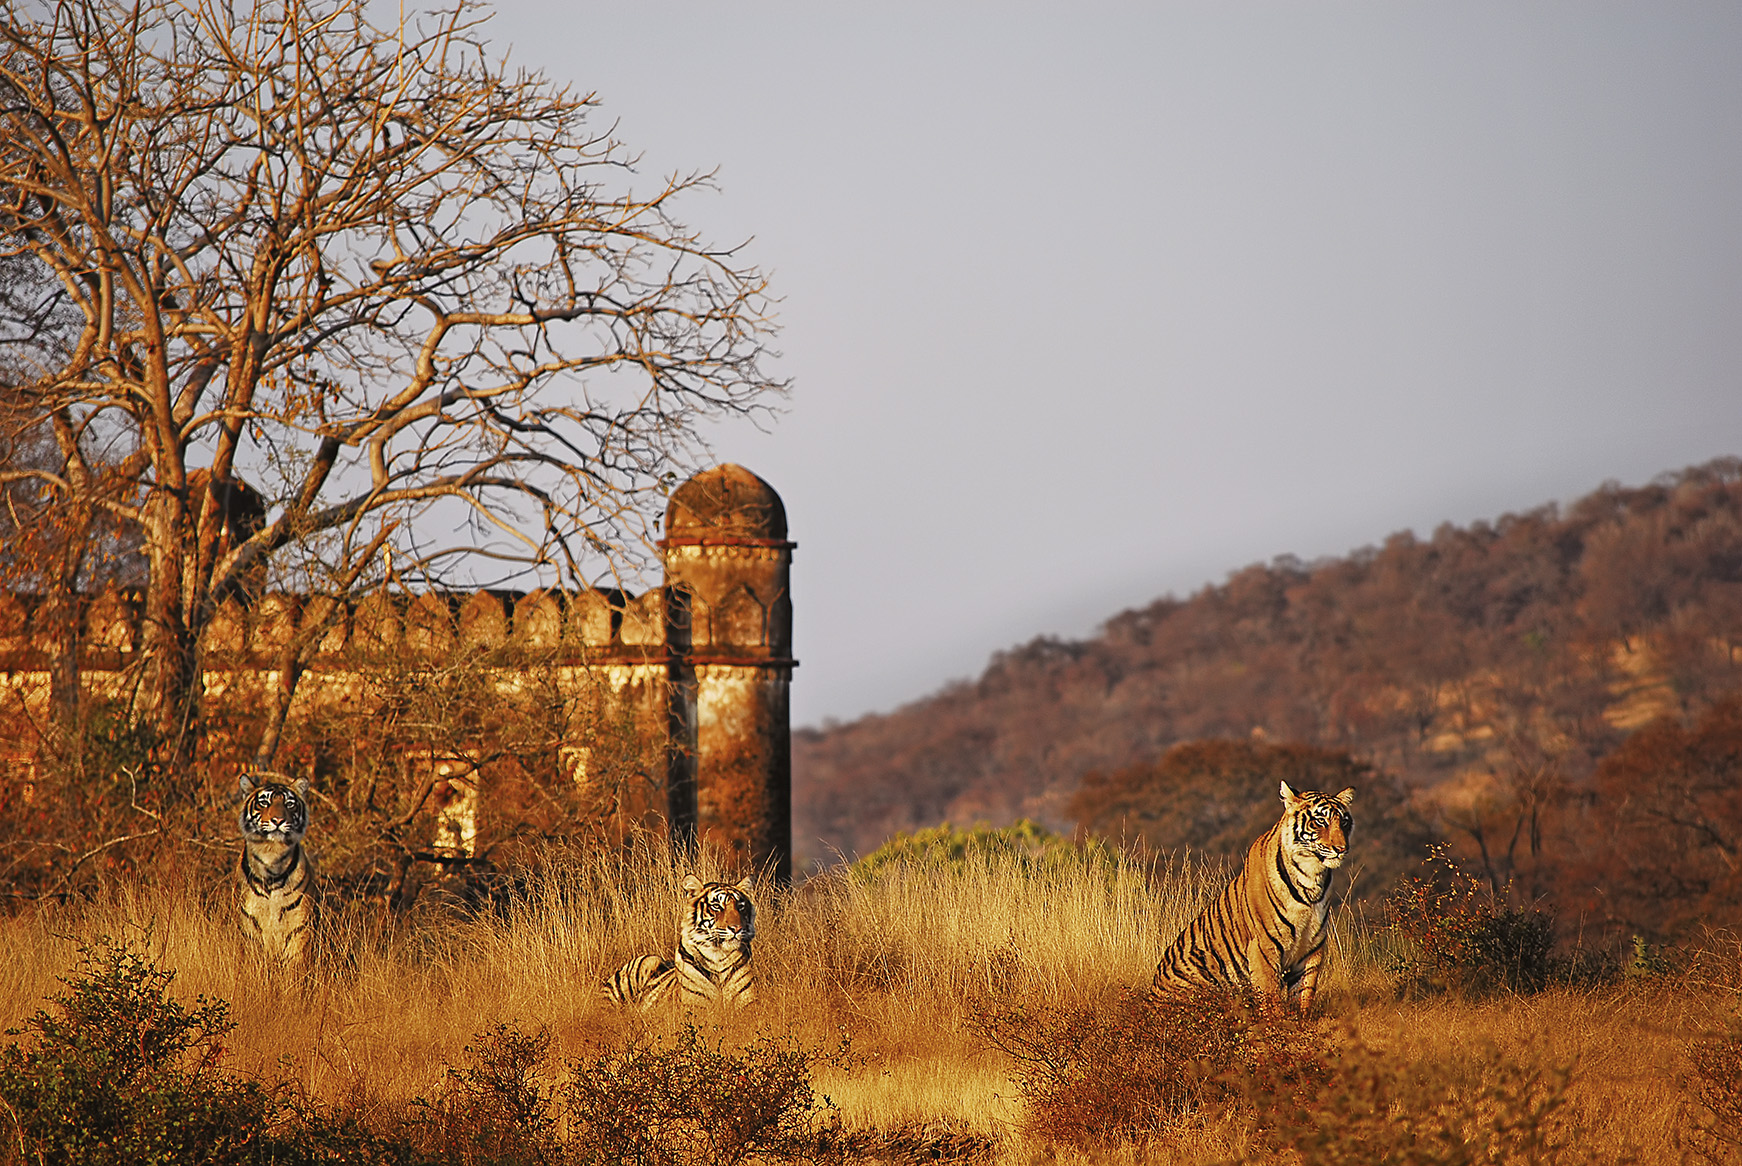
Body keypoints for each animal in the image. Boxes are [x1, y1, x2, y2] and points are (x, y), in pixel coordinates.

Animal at [237, 772, 319, 968]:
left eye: (289, 804)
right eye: (264, 802)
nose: (278, 820)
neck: (271, 856)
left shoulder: (298, 927)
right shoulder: (250, 925)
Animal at [604, 874, 756, 1010]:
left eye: (740, 907)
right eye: (716, 906)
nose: (736, 928)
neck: (718, 956)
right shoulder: (695, 1008)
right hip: (646, 962)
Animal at [1152, 782, 1355, 1013]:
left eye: (1344, 822)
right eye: (1321, 821)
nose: (1341, 849)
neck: (1312, 875)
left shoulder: (1311, 946)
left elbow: (1304, 994)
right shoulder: (1264, 946)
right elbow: (1270, 993)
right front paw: (1276, 1021)